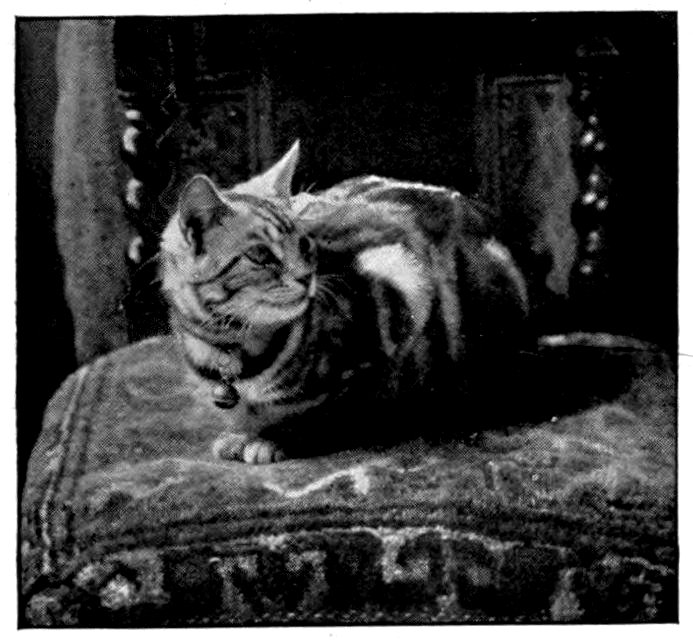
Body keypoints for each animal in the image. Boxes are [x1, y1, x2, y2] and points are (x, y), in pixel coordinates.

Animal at [160, 141, 530, 464]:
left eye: (305, 244)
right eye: (260, 255)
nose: (305, 278)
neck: (234, 347)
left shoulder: (400, 292)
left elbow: (331, 412)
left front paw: (275, 437)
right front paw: (242, 433)